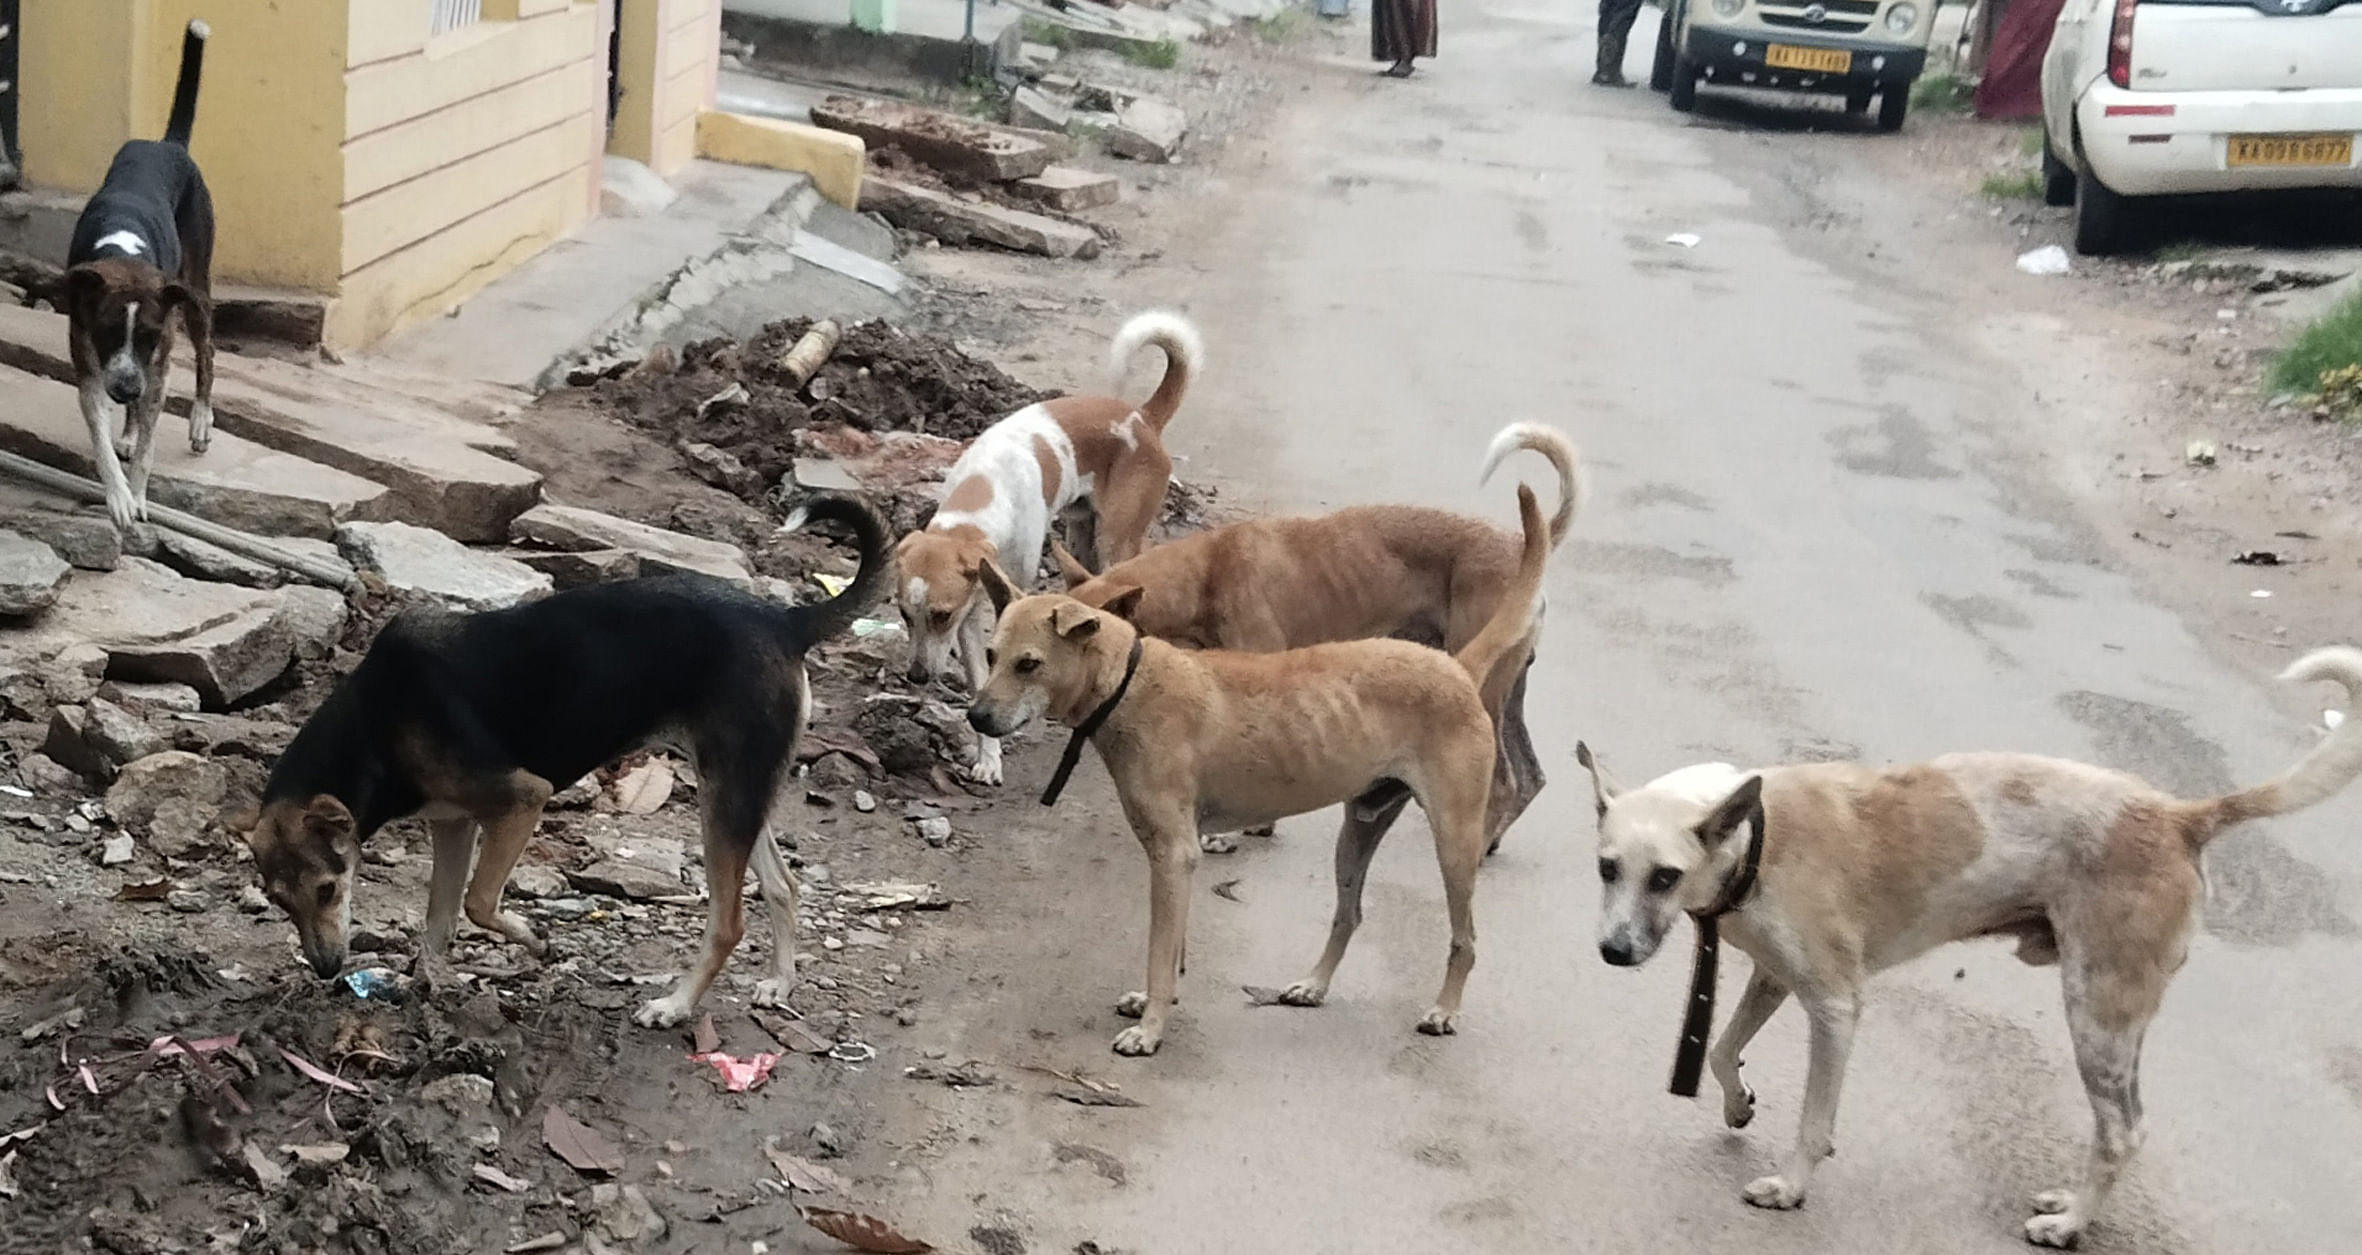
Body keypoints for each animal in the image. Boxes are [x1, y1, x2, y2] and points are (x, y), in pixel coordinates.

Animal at [64, 19, 219, 531]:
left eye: (151, 334)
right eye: (109, 330)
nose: (127, 387)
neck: (123, 248)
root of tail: (166, 144)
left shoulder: (158, 362)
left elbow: (150, 449)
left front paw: (137, 493)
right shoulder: (91, 364)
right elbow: (100, 440)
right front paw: (118, 497)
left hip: (196, 289)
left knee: (207, 351)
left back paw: (200, 421)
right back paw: (129, 431)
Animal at [237, 496, 888, 1025]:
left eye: (328, 890)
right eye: (281, 902)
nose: (326, 970)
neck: (373, 727)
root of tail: (786, 620)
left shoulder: (524, 797)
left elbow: (477, 903)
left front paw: (535, 941)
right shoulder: (453, 823)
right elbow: (438, 921)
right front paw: (425, 988)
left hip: (726, 796)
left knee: (728, 923)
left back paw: (675, 1005)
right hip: (738, 788)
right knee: (783, 885)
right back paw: (779, 982)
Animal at [968, 482, 1558, 1058]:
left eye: (1029, 663)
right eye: (990, 654)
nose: (975, 717)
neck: (1129, 679)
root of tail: (1455, 667)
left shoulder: (1173, 855)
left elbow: (1160, 951)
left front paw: (1151, 1028)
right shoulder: (1179, 856)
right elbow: (1176, 947)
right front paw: (1157, 1004)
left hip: (1454, 844)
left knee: (1465, 938)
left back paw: (1443, 1011)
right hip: (1357, 833)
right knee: (1349, 914)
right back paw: (1313, 985)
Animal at [1568, 652, 2362, 1247]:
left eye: (1664, 876)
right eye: (1606, 868)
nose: (1613, 952)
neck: (1754, 836)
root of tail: (2180, 815)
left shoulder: (1835, 1005)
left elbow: (1814, 1120)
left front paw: (1791, 1186)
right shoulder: (1775, 973)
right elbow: (1720, 1048)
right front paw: (1738, 1106)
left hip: (2098, 1014)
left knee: (2123, 1131)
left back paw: (2070, 1225)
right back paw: (2071, 1202)